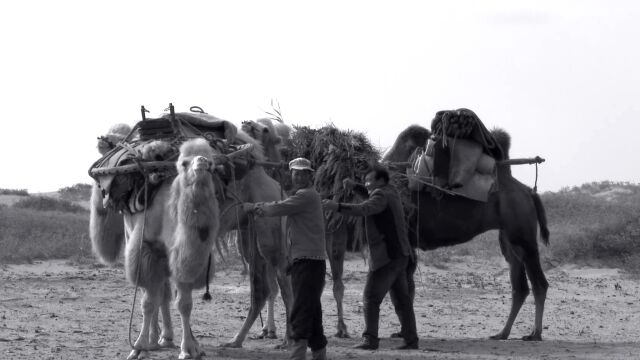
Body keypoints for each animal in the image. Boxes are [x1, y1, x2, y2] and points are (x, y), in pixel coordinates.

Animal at [91, 136, 224, 358]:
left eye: (212, 164)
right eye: (183, 163)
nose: (202, 162)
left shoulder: (181, 259)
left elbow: (184, 304)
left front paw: (189, 348)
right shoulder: (147, 250)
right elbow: (147, 302)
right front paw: (139, 346)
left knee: (163, 291)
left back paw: (166, 337)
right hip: (135, 238)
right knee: (153, 292)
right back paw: (154, 339)